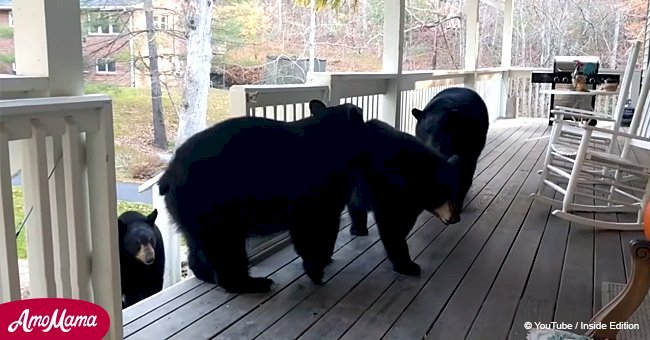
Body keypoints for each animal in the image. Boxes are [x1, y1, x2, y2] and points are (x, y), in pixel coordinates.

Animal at [157, 99, 364, 294]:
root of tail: (169, 174)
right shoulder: (317, 201)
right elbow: (316, 232)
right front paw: (317, 267)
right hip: (215, 211)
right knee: (226, 248)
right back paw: (254, 283)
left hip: (192, 217)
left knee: (197, 248)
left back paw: (208, 276)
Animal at [346, 119, 458, 276]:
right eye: (443, 195)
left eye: (456, 194)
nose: (456, 218)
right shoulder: (388, 189)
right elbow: (390, 224)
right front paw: (407, 265)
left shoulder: (410, 202)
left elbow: (405, 222)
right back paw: (358, 228)